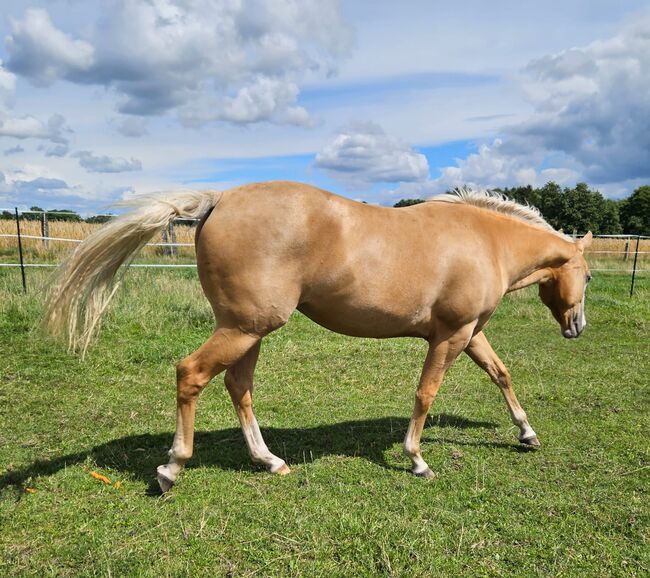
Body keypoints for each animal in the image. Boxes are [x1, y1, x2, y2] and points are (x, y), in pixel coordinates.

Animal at [45, 179, 588, 486]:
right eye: (587, 276)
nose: (577, 326)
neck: (485, 240)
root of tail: (218, 200)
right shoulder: (451, 336)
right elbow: (425, 393)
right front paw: (416, 459)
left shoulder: (470, 334)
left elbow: (501, 375)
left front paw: (527, 433)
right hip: (244, 328)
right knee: (191, 374)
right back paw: (172, 468)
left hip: (248, 331)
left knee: (238, 386)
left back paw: (269, 461)